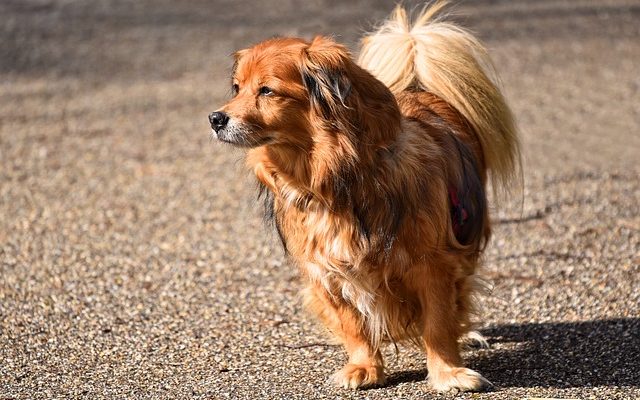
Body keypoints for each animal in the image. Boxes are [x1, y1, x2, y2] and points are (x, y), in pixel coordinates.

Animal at [210, 1, 520, 392]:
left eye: (266, 91)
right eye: (237, 88)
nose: (215, 118)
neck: (334, 180)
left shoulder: (434, 264)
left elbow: (438, 323)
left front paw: (448, 373)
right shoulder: (325, 269)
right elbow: (353, 325)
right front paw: (364, 367)